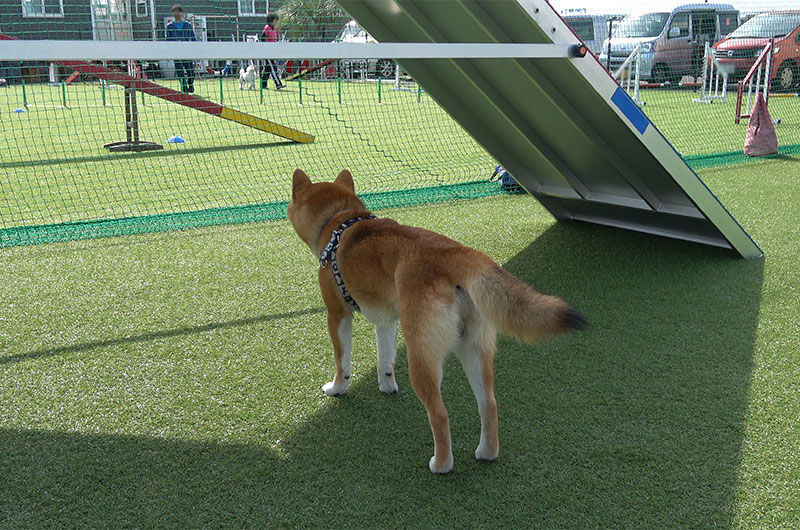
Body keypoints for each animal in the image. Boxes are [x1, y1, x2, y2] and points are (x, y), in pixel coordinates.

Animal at [288, 168, 588, 470]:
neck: (340, 221)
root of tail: (453, 252)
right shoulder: (386, 322)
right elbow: (385, 360)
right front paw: (386, 385)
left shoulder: (338, 315)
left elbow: (342, 361)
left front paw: (338, 387)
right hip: (474, 350)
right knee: (489, 405)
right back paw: (487, 452)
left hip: (421, 356)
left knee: (440, 414)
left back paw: (442, 464)